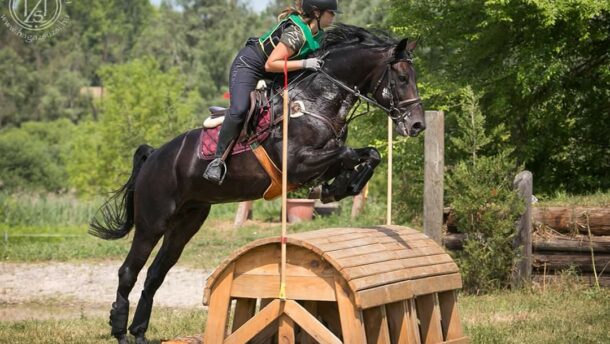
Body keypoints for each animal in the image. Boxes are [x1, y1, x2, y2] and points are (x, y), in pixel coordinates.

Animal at [90, 24, 422, 344]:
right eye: (402, 77)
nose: (417, 125)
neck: (316, 102)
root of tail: (154, 156)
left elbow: (370, 154)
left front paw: (339, 187)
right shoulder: (297, 164)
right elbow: (348, 153)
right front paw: (333, 188)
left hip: (187, 222)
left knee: (156, 273)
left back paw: (139, 332)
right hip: (153, 221)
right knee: (129, 271)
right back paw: (120, 331)